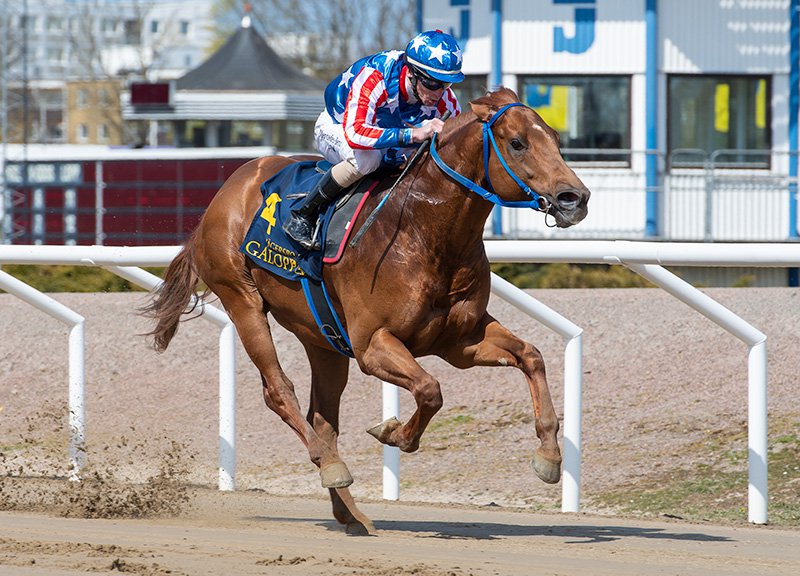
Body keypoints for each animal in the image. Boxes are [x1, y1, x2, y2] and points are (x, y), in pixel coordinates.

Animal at [144, 88, 592, 532]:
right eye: (517, 143)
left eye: (555, 137)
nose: (576, 198)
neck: (423, 232)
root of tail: (227, 190)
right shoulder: (372, 345)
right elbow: (430, 390)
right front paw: (393, 433)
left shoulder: (461, 341)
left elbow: (531, 356)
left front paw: (549, 457)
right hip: (243, 300)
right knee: (279, 391)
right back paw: (331, 466)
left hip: (322, 338)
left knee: (322, 417)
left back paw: (350, 511)